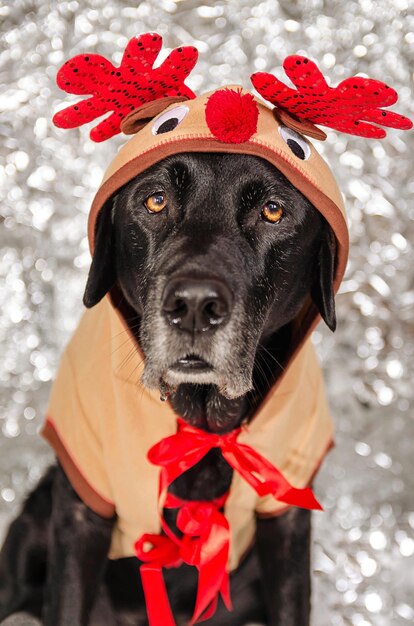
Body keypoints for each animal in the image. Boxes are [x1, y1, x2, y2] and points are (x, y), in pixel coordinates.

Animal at [0, 152, 336, 624]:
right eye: (156, 200)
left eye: (273, 210)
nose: (194, 305)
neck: (201, 417)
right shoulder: (81, 511)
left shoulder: (286, 515)